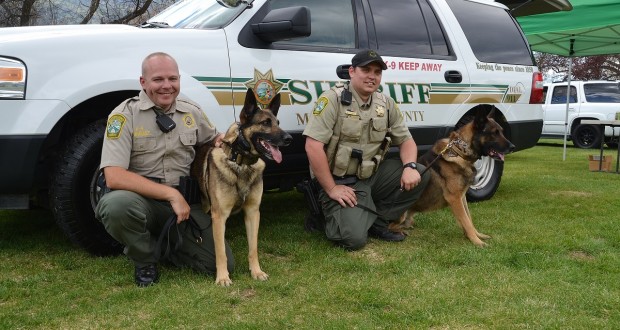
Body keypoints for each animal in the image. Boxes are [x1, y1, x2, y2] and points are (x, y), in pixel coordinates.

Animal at [191, 88, 294, 286]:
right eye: (265, 123)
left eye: (278, 123)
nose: (289, 138)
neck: (242, 164)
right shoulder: (219, 216)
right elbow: (221, 252)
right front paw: (223, 277)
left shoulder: (253, 212)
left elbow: (253, 248)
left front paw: (256, 272)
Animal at [390, 109, 516, 246]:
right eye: (494, 133)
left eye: (502, 132)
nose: (513, 147)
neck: (460, 151)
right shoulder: (455, 198)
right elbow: (466, 221)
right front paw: (477, 241)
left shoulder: (462, 197)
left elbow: (468, 219)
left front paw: (477, 235)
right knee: (387, 226)